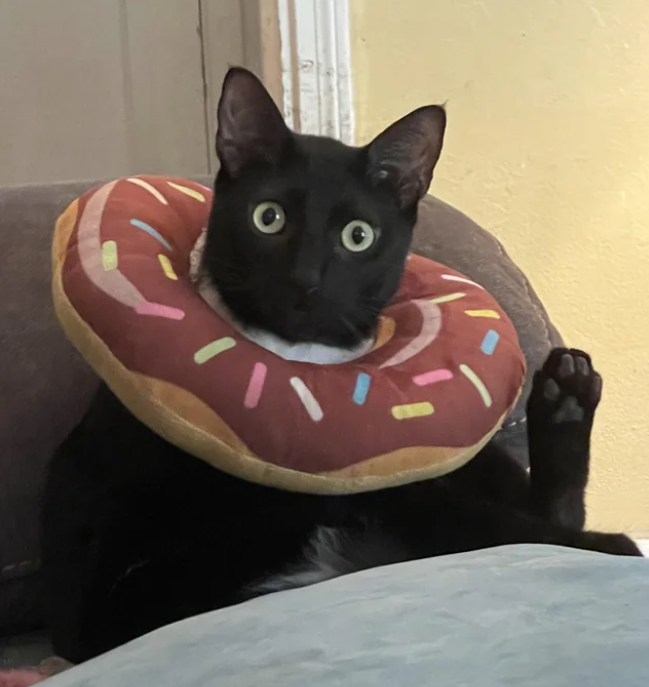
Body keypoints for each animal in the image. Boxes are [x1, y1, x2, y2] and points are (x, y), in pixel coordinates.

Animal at [41, 67, 641, 665]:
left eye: (358, 235)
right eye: (268, 218)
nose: (305, 280)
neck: (303, 361)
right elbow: (492, 527)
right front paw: (611, 547)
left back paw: (566, 395)